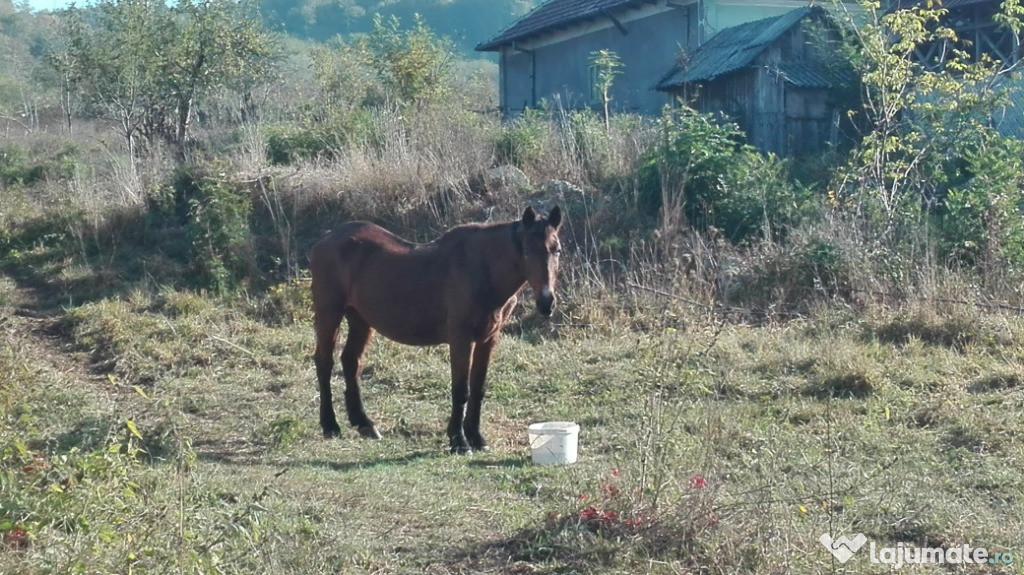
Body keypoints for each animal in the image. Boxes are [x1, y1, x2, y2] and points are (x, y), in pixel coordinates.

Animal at [311, 204, 569, 452]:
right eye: (526, 250)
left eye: (556, 250)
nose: (546, 302)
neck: (481, 270)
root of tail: (326, 239)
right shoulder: (461, 339)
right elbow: (461, 390)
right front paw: (459, 441)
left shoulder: (488, 339)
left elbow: (478, 387)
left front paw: (476, 437)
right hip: (329, 313)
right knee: (325, 362)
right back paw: (330, 425)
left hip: (360, 319)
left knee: (351, 361)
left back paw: (364, 424)